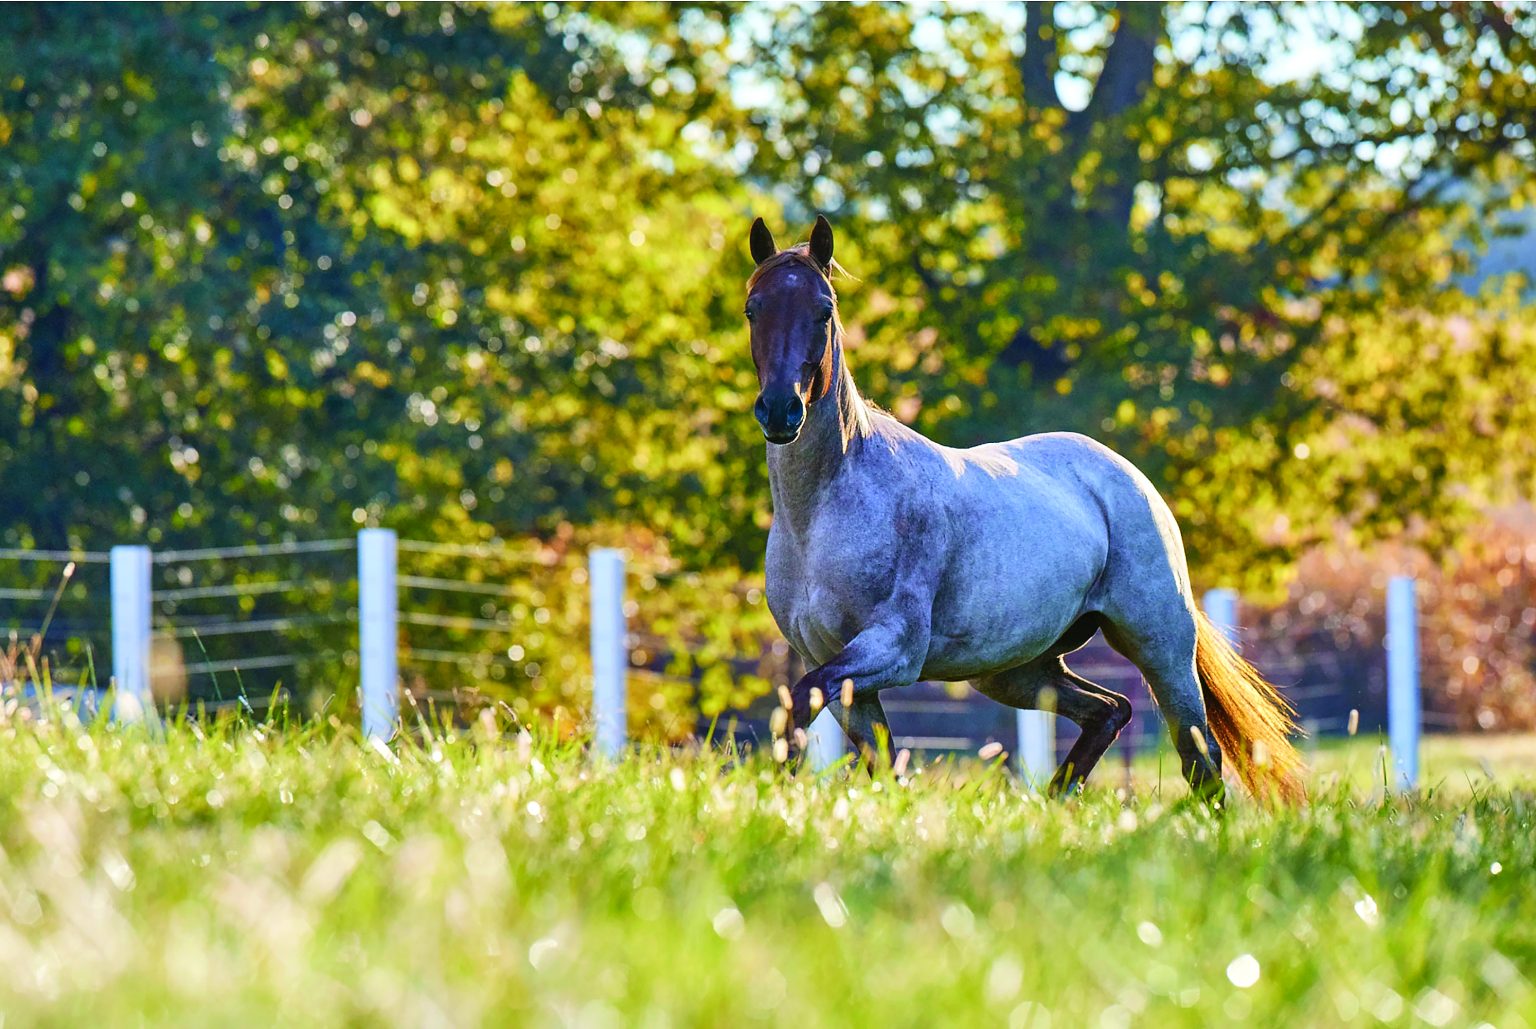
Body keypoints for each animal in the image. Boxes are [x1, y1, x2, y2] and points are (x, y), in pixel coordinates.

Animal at [745, 215, 1303, 803]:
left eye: (823, 310)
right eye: (753, 309)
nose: (781, 410)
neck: (821, 517)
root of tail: (1131, 480)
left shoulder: (892, 649)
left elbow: (798, 708)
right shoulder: (832, 663)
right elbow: (877, 758)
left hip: (1159, 646)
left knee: (1199, 754)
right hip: (1015, 670)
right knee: (1110, 711)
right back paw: (1055, 801)